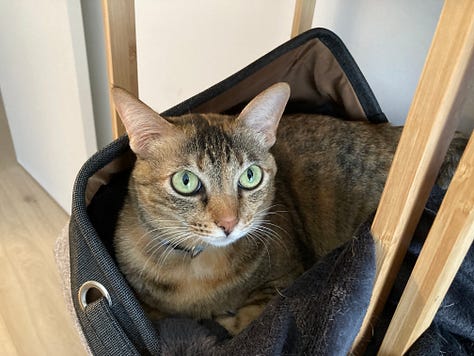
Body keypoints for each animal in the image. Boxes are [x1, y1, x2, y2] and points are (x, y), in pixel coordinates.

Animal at [110, 82, 462, 336]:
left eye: (250, 176)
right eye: (185, 181)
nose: (229, 223)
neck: (198, 267)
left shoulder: (286, 278)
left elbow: (246, 320)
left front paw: (222, 318)